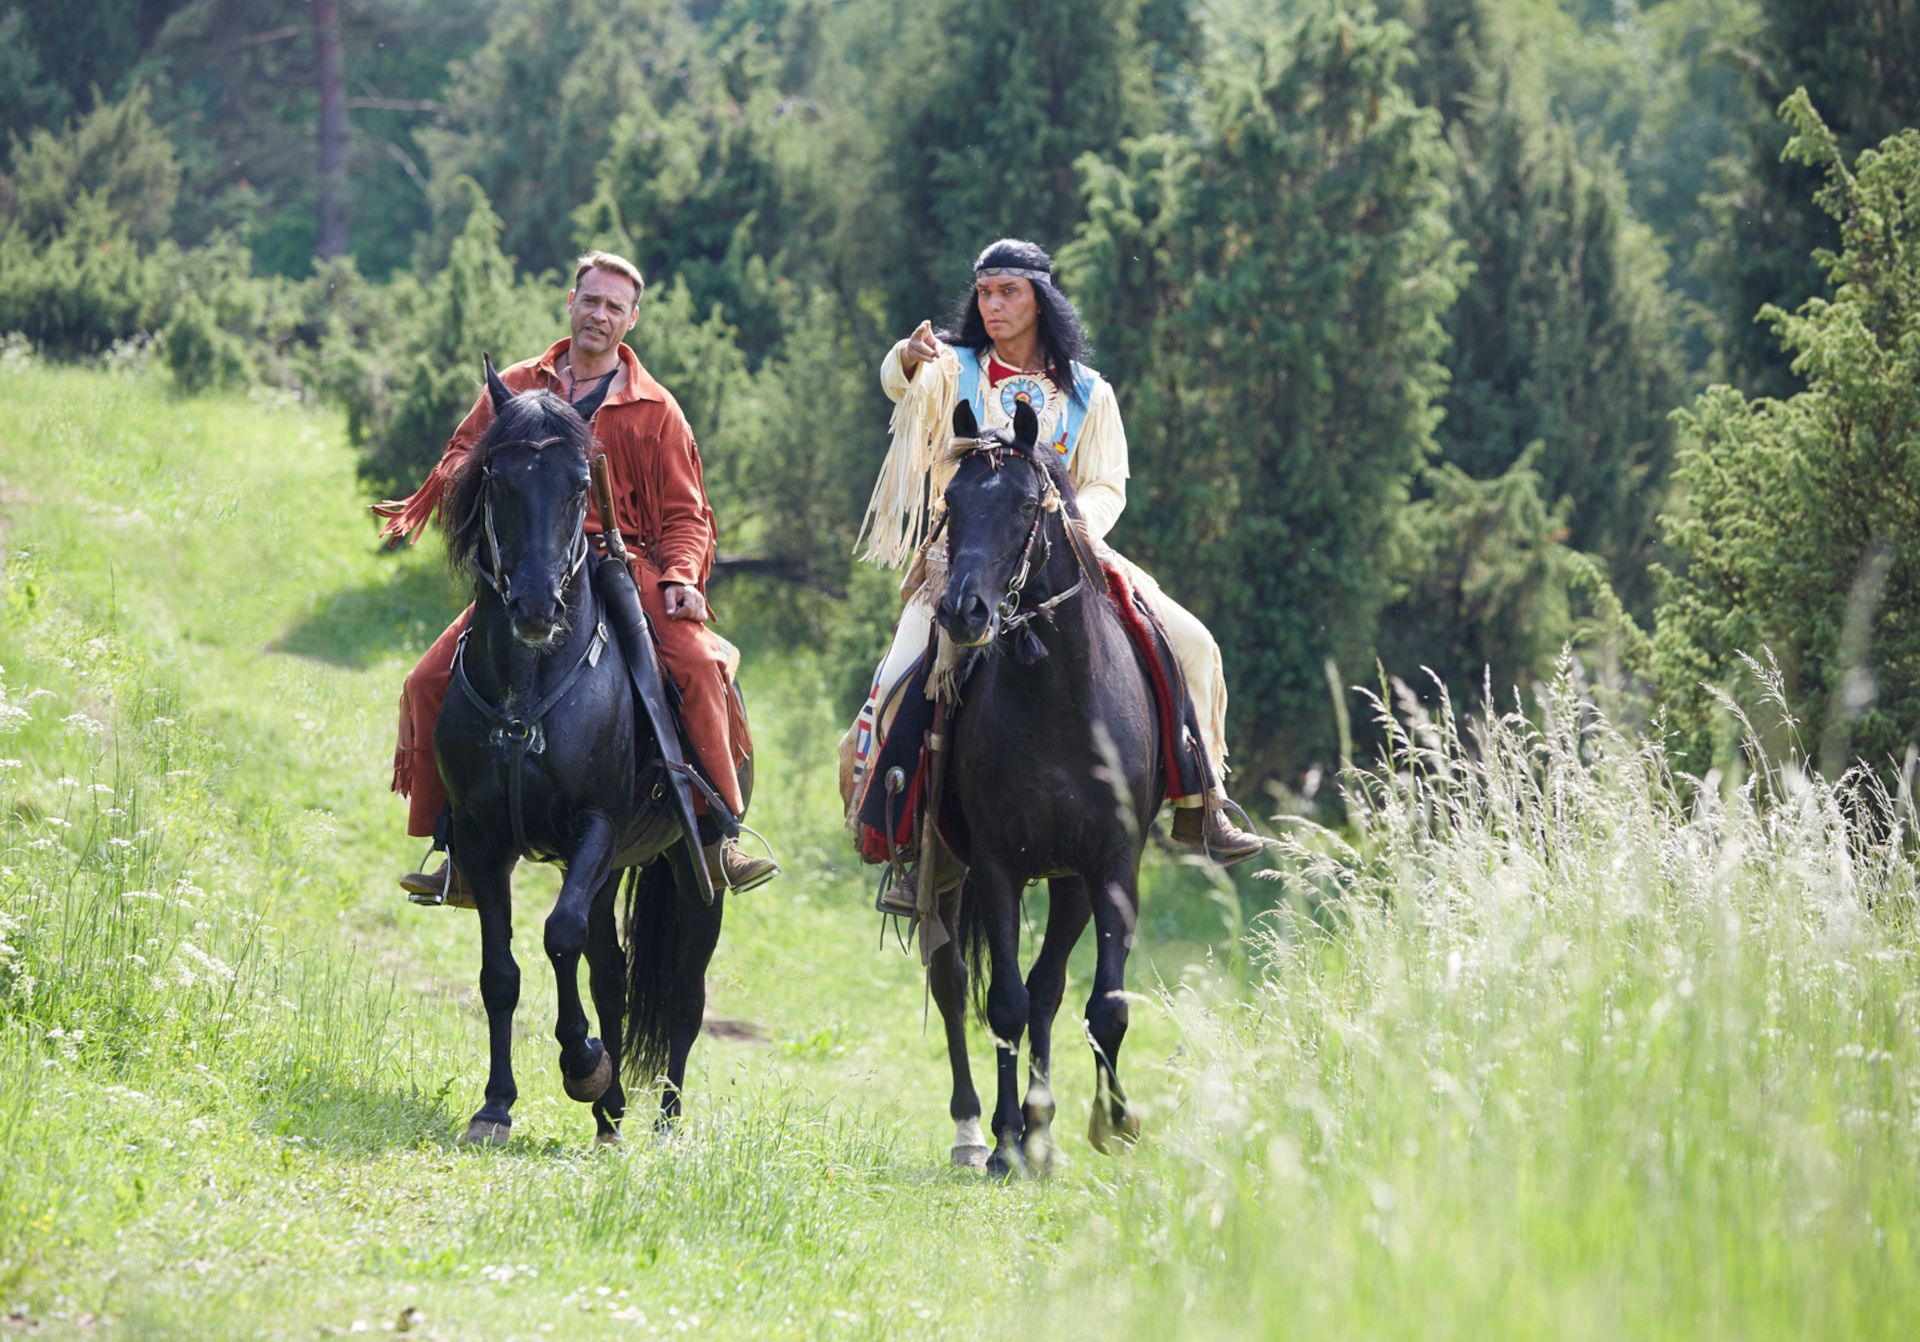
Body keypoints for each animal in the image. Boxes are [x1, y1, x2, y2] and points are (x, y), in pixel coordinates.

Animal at [435, 357, 741, 1144]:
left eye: (580, 483)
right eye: (498, 479)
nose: (537, 607)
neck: (530, 686)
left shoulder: (594, 827)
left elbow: (559, 934)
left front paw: (582, 1063)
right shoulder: (482, 840)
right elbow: (502, 973)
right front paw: (497, 1106)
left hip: (693, 871)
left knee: (684, 995)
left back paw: (665, 1121)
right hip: (611, 870)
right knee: (610, 970)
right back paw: (610, 1118)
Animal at [925, 401, 1152, 1174]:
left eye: (1026, 504)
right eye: (951, 500)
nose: (963, 612)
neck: (1059, 703)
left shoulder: (1111, 865)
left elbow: (1103, 1003)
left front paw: (1110, 1124)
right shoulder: (996, 865)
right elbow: (1004, 1003)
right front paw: (1004, 1143)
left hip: (1069, 882)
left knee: (1050, 989)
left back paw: (1043, 1126)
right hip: (946, 873)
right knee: (953, 979)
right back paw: (974, 1130)